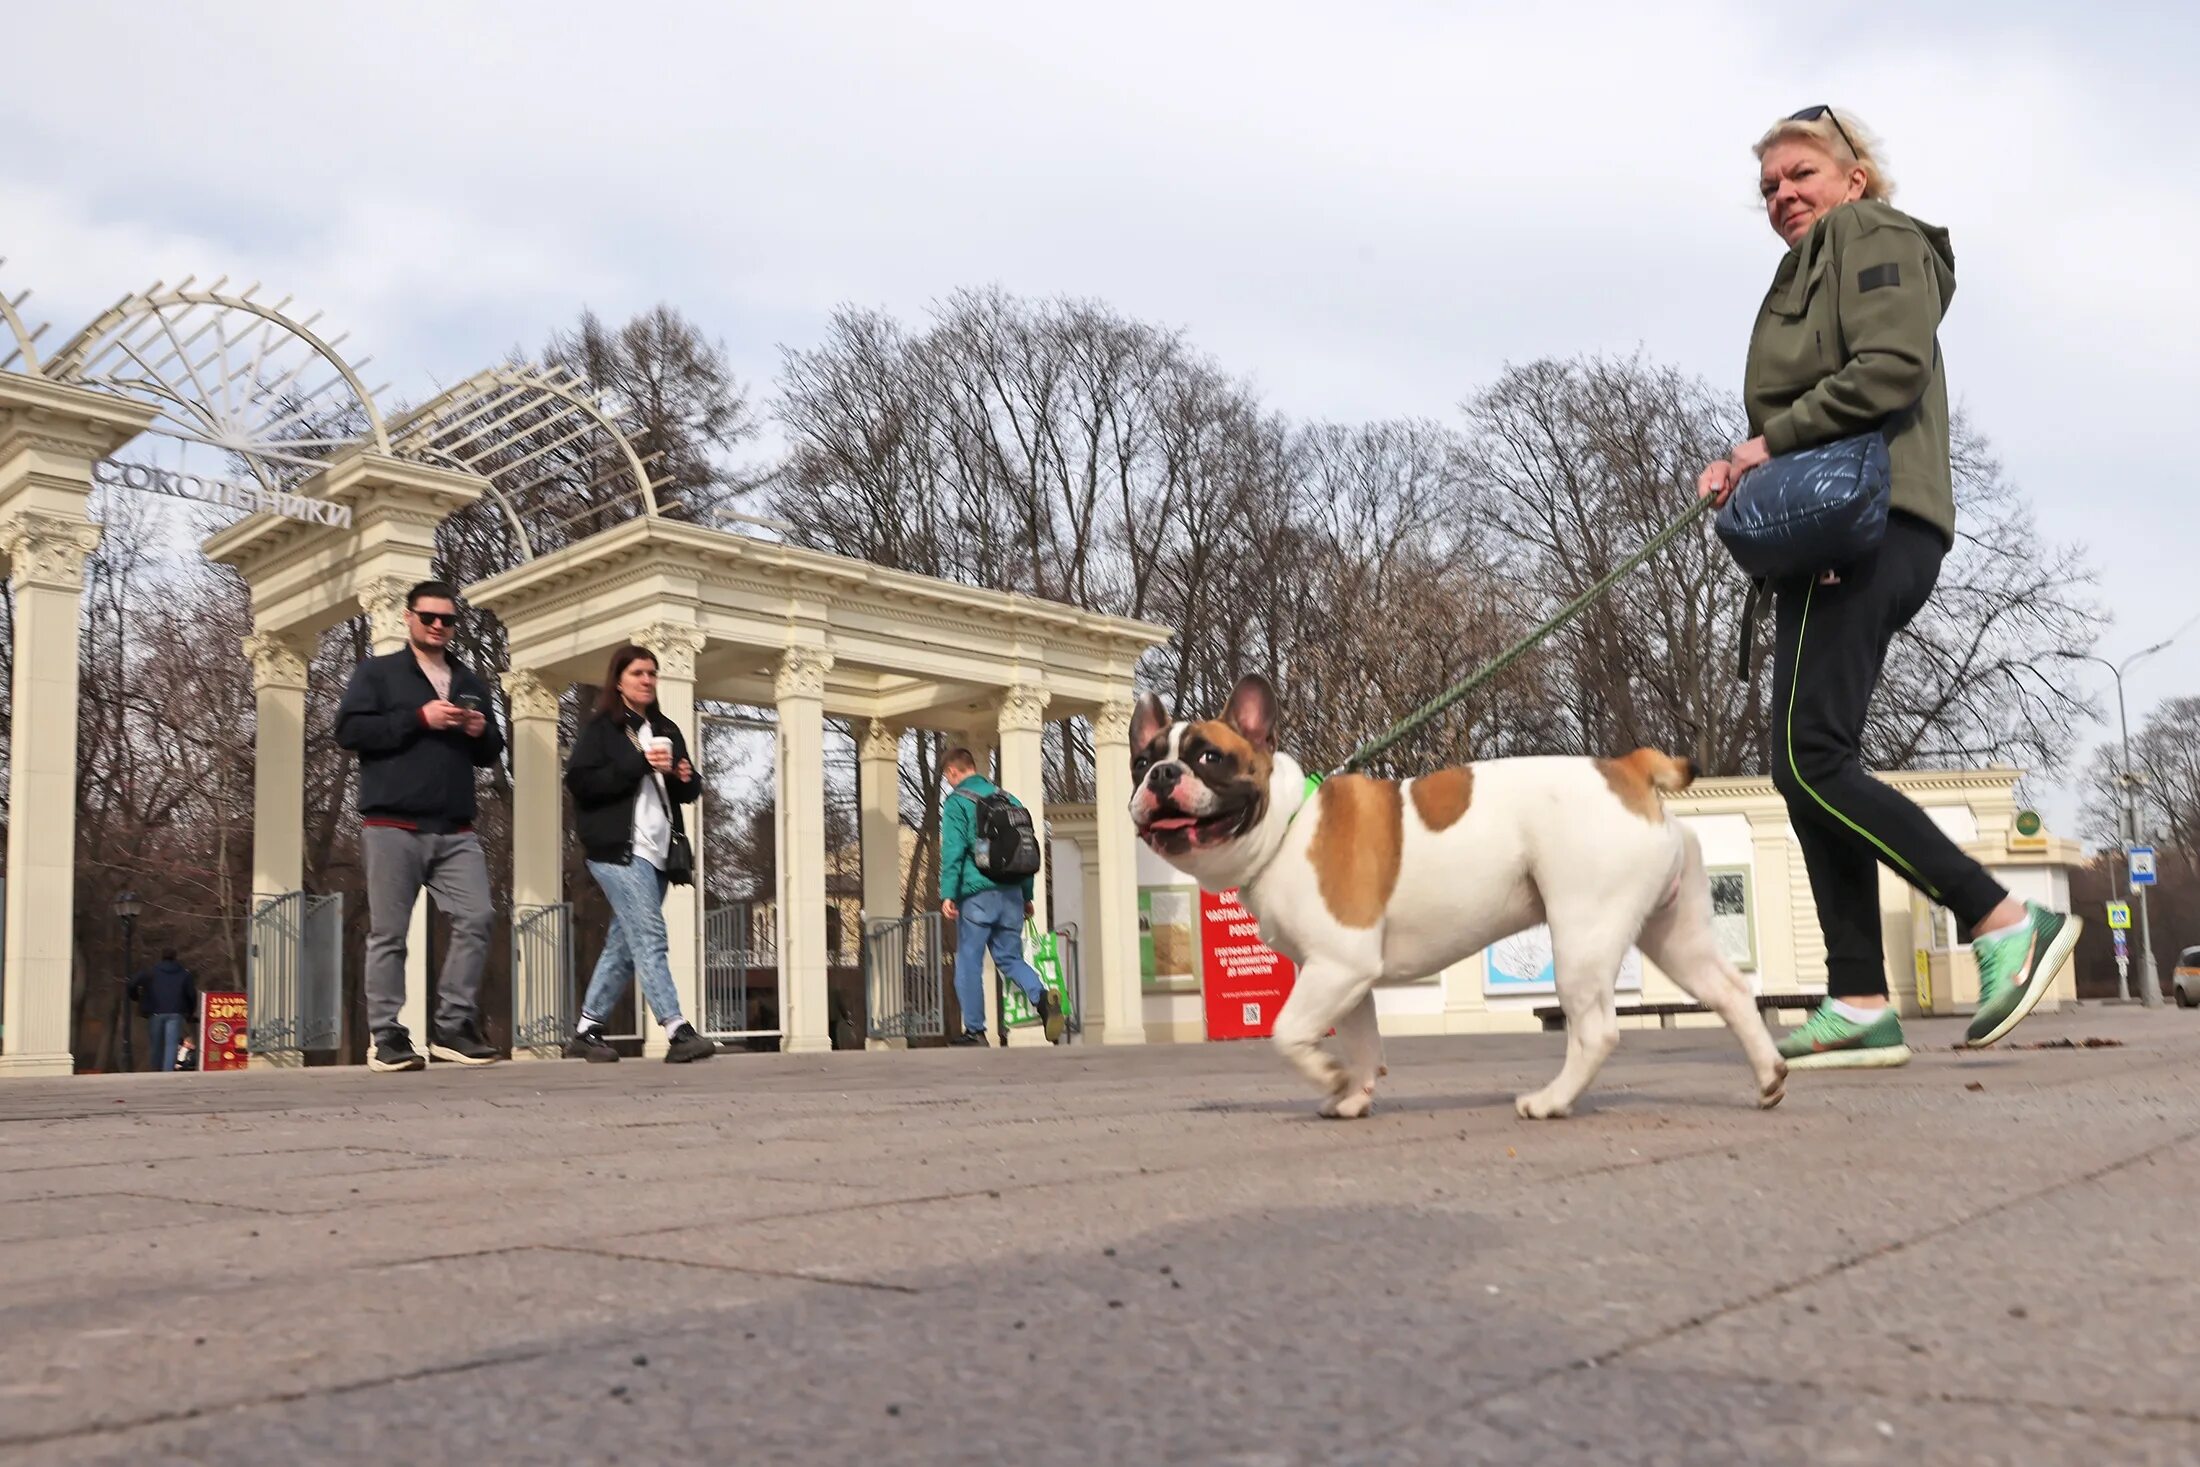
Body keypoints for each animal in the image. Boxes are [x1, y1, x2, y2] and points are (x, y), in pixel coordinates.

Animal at [1135, 677, 1786, 1126]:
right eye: (1141, 760)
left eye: (1209, 757)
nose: (1160, 774)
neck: (1286, 824)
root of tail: (1627, 769)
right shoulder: (1344, 975)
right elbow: (1363, 1042)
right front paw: (1352, 1096)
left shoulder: (1336, 967)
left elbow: (1288, 1031)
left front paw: (1327, 1074)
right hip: (1675, 934)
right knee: (1730, 992)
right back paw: (1770, 1077)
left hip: (1583, 932)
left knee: (1597, 1030)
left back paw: (1549, 1102)